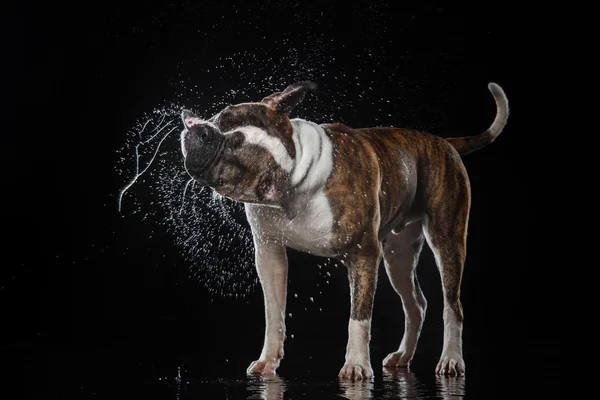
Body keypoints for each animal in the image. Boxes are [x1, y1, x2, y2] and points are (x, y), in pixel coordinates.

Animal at [179, 80, 510, 378]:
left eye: (232, 154)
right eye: (224, 116)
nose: (203, 131)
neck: (297, 176)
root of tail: (444, 142)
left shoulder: (364, 256)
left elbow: (359, 318)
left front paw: (356, 366)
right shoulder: (270, 253)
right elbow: (274, 313)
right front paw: (268, 361)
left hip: (446, 240)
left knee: (452, 305)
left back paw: (451, 360)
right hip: (398, 257)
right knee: (416, 303)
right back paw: (403, 355)